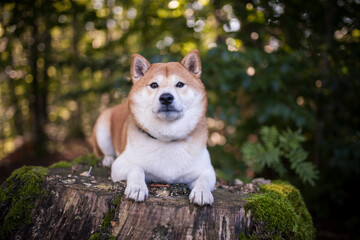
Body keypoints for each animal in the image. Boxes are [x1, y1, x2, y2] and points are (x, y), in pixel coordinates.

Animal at [92, 49, 217, 205]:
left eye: (180, 84)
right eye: (154, 85)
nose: (166, 97)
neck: (167, 138)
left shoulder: (206, 169)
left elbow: (204, 179)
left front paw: (202, 192)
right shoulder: (120, 165)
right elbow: (136, 168)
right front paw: (137, 187)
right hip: (102, 129)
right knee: (105, 152)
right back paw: (108, 159)